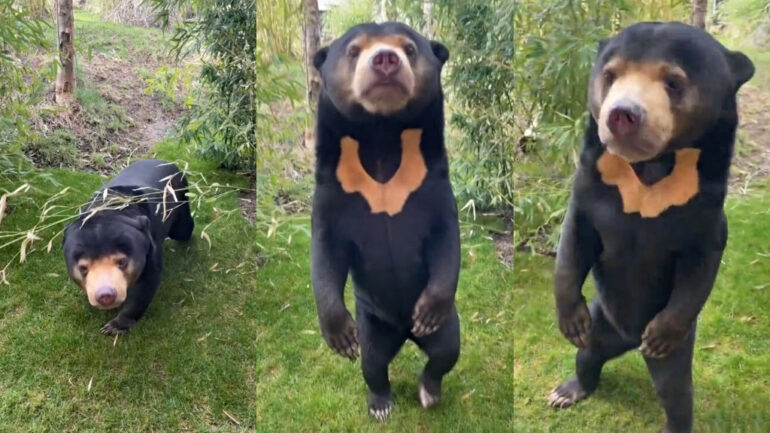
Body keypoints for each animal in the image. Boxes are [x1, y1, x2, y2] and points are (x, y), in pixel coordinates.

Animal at [62, 159, 195, 335]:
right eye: (83, 268)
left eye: (122, 262)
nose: (105, 295)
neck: (108, 207)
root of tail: (168, 162)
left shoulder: (149, 249)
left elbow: (144, 286)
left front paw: (115, 326)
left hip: (180, 198)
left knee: (184, 229)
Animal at [309, 22, 460, 420]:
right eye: (353, 50)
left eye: (409, 48)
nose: (385, 59)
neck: (382, 133)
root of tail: (404, 334)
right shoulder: (332, 191)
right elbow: (325, 252)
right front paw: (340, 337)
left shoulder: (432, 183)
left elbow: (445, 238)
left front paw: (429, 309)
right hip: (373, 323)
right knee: (373, 363)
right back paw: (380, 403)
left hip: (446, 326)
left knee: (446, 351)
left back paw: (429, 390)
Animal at [547, 22, 754, 433]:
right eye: (610, 76)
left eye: (673, 82)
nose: (621, 115)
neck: (650, 168)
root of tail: (626, 340)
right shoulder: (590, 186)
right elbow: (574, 241)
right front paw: (570, 319)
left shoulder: (705, 210)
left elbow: (701, 265)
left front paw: (661, 334)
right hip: (601, 320)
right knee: (587, 356)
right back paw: (568, 390)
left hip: (678, 351)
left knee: (676, 394)